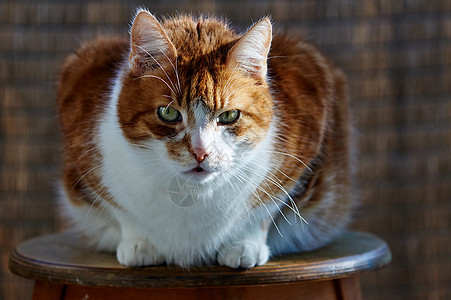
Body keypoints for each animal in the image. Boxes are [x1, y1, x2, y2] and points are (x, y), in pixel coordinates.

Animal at [55, 8, 354, 268]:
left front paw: (244, 244)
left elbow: (265, 208)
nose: (200, 152)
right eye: (168, 113)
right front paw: (139, 243)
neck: (191, 195)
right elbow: (122, 211)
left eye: (229, 115)